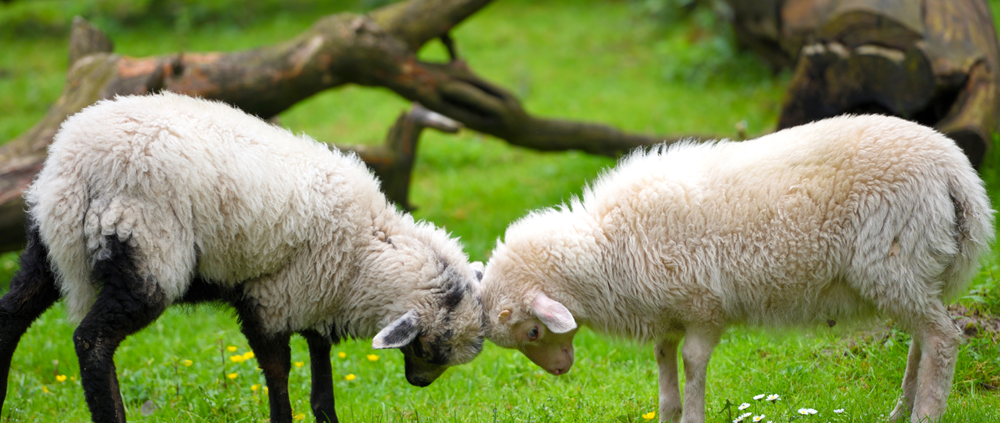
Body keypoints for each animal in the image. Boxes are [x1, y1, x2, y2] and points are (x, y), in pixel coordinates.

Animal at [0, 93, 488, 423]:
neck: (365, 250)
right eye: (431, 346)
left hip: (45, 244)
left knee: (10, 315)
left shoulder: (315, 296)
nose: (418, 383)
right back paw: (110, 412)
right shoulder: (273, 299)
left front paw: (326, 415)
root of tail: (74, 163)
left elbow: (321, 369)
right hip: (148, 253)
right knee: (92, 340)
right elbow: (279, 371)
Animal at [478, 114, 992, 422]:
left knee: (943, 340)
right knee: (922, 339)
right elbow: (664, 370)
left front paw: (694, 416)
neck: (607, 248)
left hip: (892, 261)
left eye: (532, 331)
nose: (561, 370)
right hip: (916, 270)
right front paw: (670, 412)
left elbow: (692, 364)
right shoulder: (667, 314)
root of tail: (958, 175)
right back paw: (900, 412)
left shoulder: (704, 307)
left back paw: (925, 413)